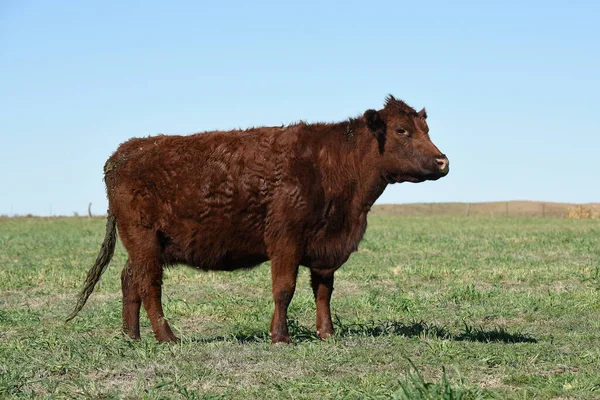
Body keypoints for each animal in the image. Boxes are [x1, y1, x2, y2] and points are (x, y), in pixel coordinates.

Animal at [68, 95, 448, 342]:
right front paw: (280, 336)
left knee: (129, 280)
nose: (443, 161)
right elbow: (284, 288)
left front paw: (326, 333)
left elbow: (323, 291)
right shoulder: (286, 240)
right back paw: (167, 337)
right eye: (401, 131)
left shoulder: (327, 248)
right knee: (148, 285)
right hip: (144, 238)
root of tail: (124, 152)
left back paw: (131, 336)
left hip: (145, 245)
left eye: (426, 128)